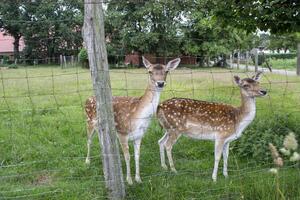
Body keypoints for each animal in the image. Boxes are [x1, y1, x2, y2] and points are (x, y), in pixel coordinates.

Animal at [84, 56, 180, 184]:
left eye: (167, 71)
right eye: (150, 71)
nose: (160, 83)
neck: (138, 117)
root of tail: (87, 99)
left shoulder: (139, 135)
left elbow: (137, 155)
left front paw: (138, 179)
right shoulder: (122, 133)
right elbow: (128, 156)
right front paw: (129, 180)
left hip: (100, 127)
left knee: (101, 141)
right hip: (89, 121)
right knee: (89, 140)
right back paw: (87, 161)